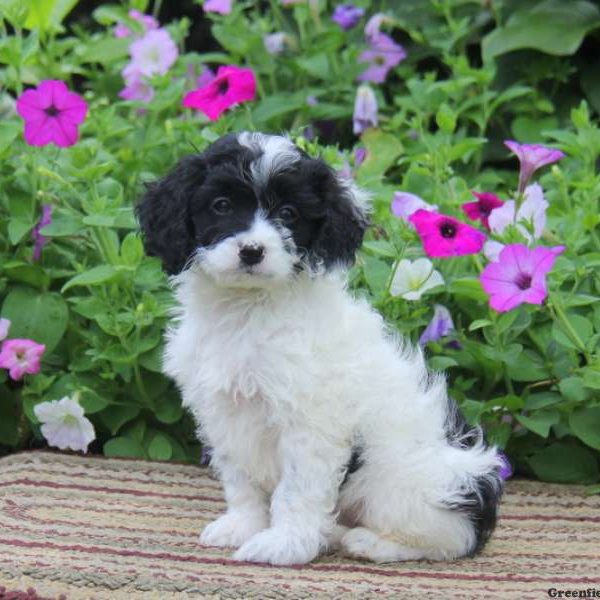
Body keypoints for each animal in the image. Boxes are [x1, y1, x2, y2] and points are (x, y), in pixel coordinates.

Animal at [136, 132, 502, 568]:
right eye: (221, 205)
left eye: (289, 213)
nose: (252, 251)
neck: (249, 311)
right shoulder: (225, 414)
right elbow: (241, 480)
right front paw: (242, 526)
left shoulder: (309, 424)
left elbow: (296, 490)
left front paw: (284, 544)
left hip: (400, 481)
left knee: (447, 538)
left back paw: (368, 542)